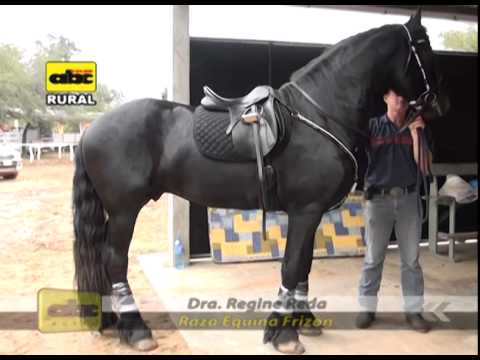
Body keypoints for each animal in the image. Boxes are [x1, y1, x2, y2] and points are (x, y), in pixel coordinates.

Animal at [73, 11, 448, 354]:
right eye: (424, 46)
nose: (439, 104)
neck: (319, 113)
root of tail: (92, 128)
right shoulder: (306, 210)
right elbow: (291, 266)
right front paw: (284, 335)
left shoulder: (311, 213)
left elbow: (304, 266)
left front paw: (303, 321)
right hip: (124, 211)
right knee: (115, 261)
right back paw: (136, 330)